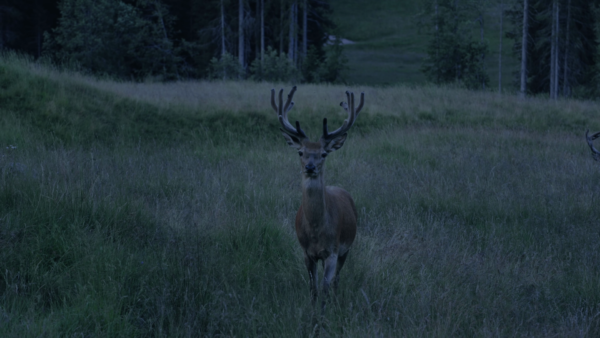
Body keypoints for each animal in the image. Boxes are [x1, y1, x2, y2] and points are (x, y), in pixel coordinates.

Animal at [270, 86, 360, 312]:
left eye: (324, 153)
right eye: (301, 152)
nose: (310, 167)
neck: (316, 230)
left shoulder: (333, 251)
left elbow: (325, 287)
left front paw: (323, 312)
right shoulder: (306, 252)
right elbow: (313, 287)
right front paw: (312, 310)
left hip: (347, 247)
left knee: (337, 279)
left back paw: (336, 299)